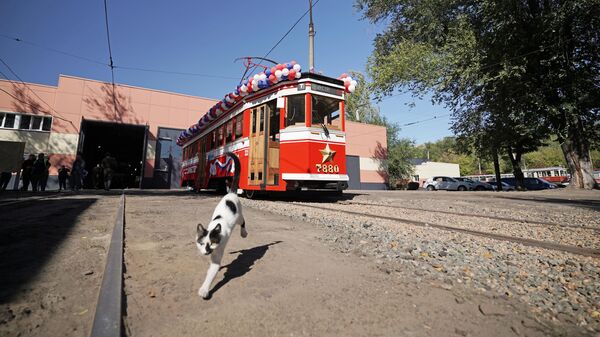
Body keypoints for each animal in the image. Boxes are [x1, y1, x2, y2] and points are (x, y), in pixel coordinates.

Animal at [195, 151, 246, 298]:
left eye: (212, 243)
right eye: (201, 243)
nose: (207, 251)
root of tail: (231, 193)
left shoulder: (217, 254)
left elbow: (211, 273)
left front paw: (204, 290)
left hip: (239, 216)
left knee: (243, 222)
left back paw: (244, 233)